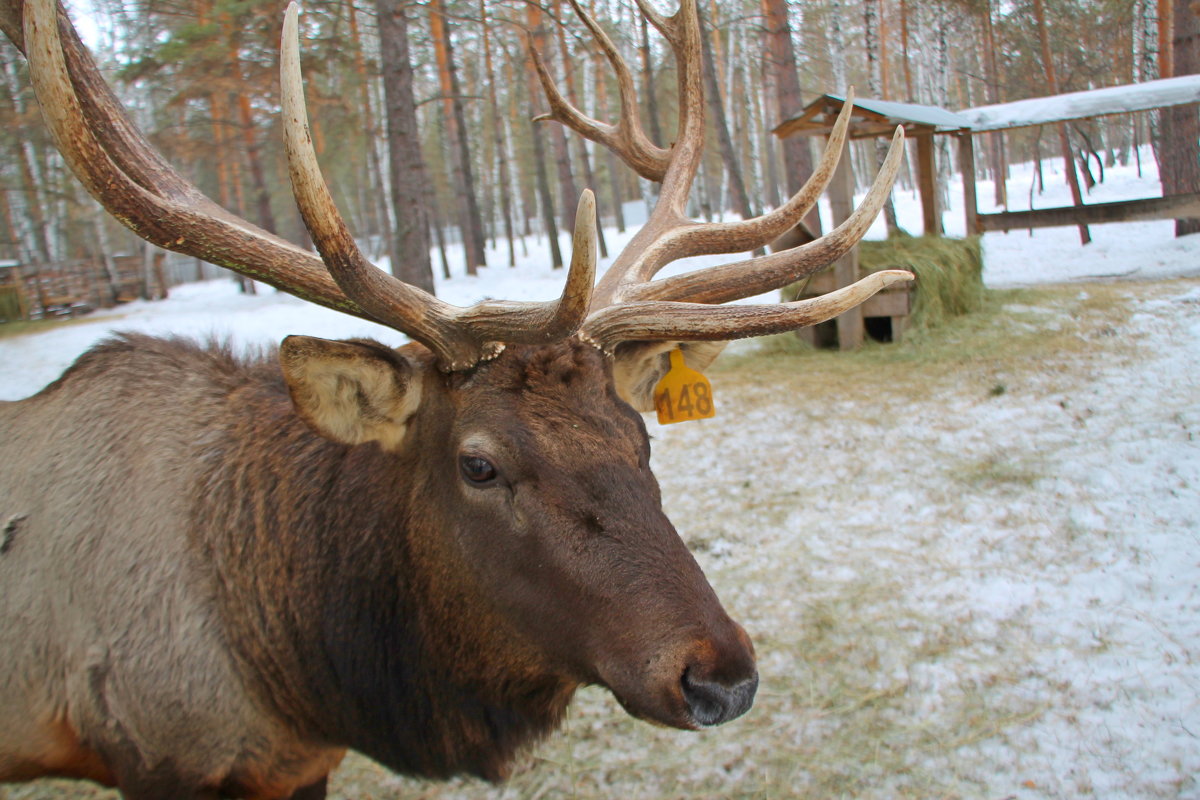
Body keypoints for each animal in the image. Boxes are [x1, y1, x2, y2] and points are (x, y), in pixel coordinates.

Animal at [0, 0, 902, 796]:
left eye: (641, 437)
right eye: (478, 464)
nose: (720, 677)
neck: (299, 677)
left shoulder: (298, 767)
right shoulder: (159, 752)